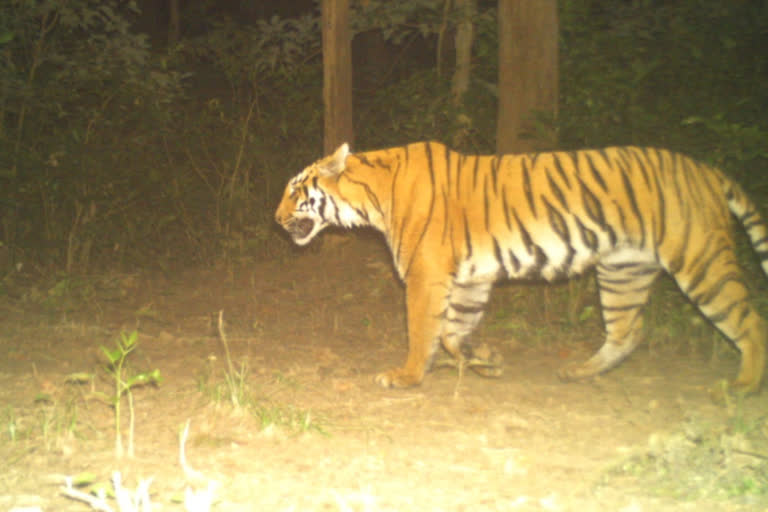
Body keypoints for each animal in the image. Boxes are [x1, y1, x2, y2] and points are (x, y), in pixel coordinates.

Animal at [276, 140, 768, 392]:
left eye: (294, 190)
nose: (275, 218)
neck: (372, 196)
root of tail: (706, 170)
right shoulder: (470, 279)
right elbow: (454, 333)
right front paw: (487, 362)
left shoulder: (425, 275)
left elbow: (423, 331)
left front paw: (407, 376)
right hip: (623, 270)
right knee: (628, 330)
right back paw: (580, 372)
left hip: (700, 261)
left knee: (750, 321)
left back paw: (744, 385)